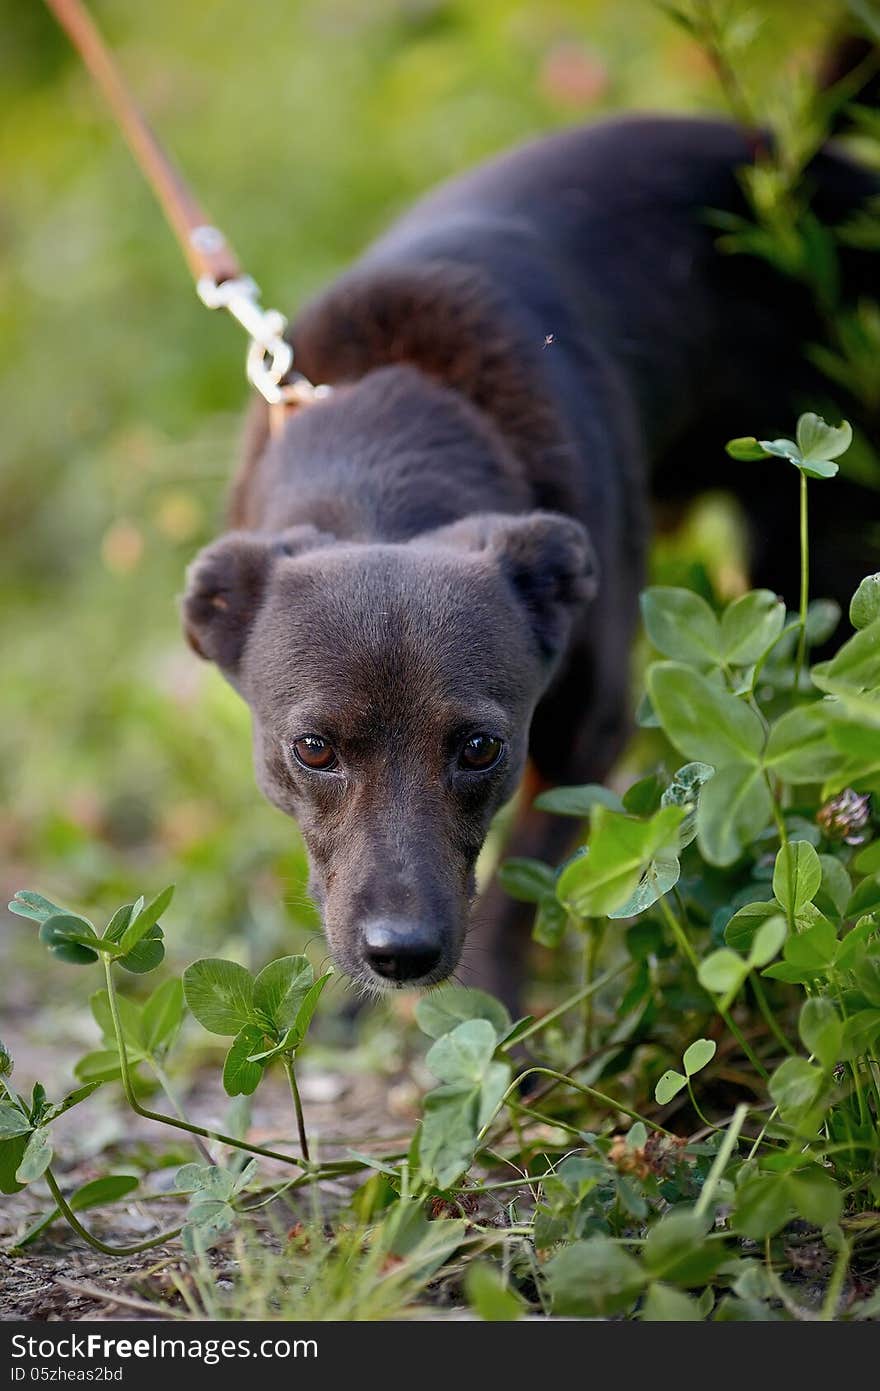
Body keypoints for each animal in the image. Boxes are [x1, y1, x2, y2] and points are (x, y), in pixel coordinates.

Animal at [182, 108, 873, 1001]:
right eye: (312, 749)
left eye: (481, 747)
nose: (400, 952)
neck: (389, 466)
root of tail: (789, 156)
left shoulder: (591, 732)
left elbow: (514, 892)